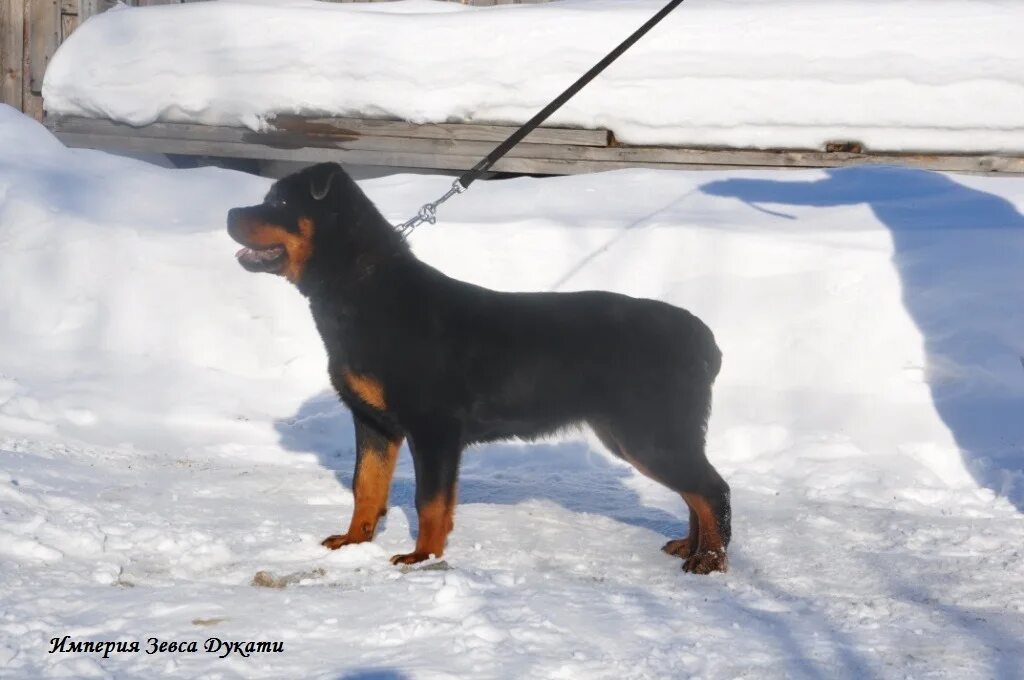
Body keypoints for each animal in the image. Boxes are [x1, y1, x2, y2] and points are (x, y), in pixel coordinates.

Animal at [228, 164, 733, 573]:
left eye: (279, 203)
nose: (231, 212)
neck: (361, 288)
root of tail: (704, 339)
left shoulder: (433, 428)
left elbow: (430, 501)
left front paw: (422, 557)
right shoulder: (375, 424)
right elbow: (365, 486)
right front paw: (354, 541)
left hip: (649, 433)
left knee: (713, 489)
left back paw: (709, 560)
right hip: (644, 434)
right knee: (696, 490)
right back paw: (690, 546)